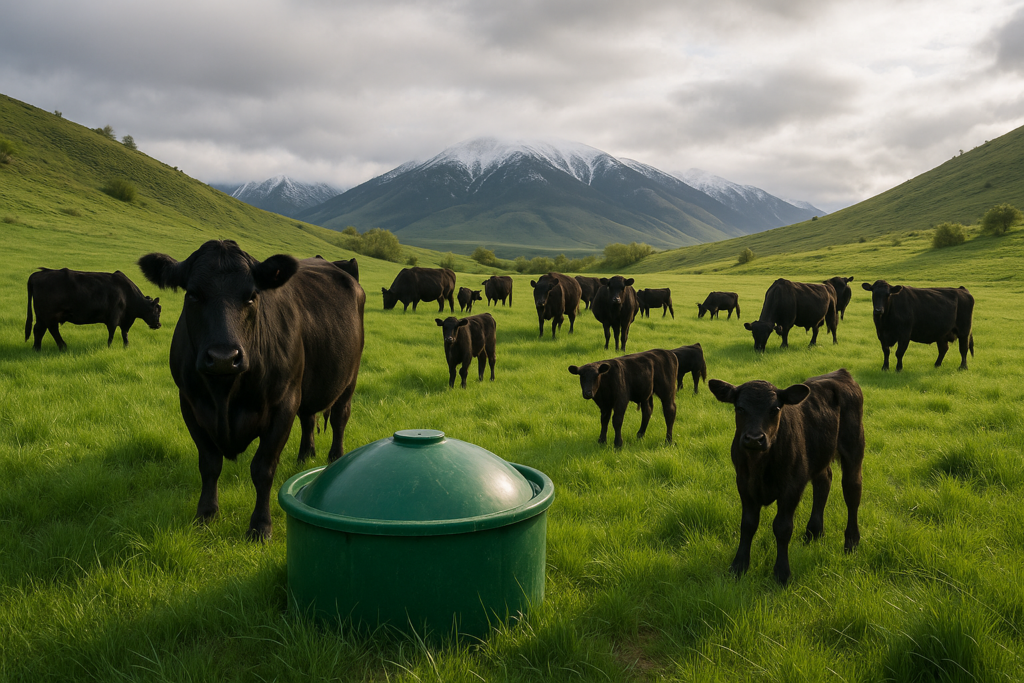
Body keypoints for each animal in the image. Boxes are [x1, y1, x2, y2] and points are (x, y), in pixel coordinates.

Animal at [25, 268, 162, 351]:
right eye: (157, 311)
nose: (159, 324)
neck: (127, 293)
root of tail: (39, 274)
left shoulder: (126, 319)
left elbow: (124, 333)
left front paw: (126, 346)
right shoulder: (114, 317)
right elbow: (112, 334)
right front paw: (109, 347)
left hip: (43, 316)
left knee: (40, 330)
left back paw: (38, 348)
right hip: (49, 315)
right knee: (49, 329)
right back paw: (61, 347)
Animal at [138, 240, 365, 541]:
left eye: (251, 296)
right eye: (193, 295)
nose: (223, 357)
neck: (224, 395)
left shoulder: (284, 403)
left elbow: (263, 468)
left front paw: (260, 526)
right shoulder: (190, 404)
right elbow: (209, 464)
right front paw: (205, 515)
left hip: (349, 378)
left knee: (339, 417)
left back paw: (334, 458)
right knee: (308, 418)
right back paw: (305, 455)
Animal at [708, 368, 864, 585]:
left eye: (775, 409)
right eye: (740, 408)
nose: (754, 439)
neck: (759, 465)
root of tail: (840, 373)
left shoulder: (792, 486)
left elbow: (782, 527)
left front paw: (782, 573)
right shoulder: (743, 483)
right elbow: (748, 524)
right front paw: (739, 566)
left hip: (854, 447)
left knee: (852, 492)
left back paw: (851, 542)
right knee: (823, 482)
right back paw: (814, 532)